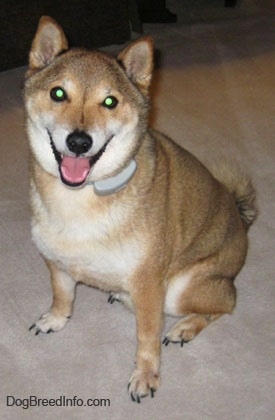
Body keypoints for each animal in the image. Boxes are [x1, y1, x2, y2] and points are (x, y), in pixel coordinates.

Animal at [24, 17, 258, 404]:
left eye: (110, 101)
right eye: (58, 93)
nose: (79, 141)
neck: (80, 201)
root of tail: (241, 222)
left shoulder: (149, 282)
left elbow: (146, 338)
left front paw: (146, 376)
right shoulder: (56, 261)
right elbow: (62, 295)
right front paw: (56, 319)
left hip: (181, 289)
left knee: (224, 304)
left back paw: (184, 327)